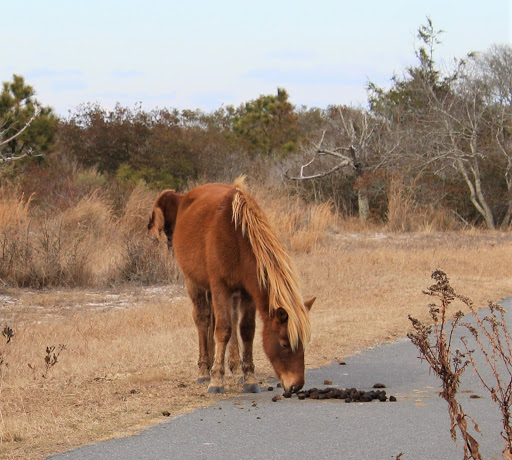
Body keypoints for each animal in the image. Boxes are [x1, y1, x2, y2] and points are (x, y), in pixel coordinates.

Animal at [148, 178, 314, 394]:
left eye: (304, 342)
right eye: (285, 344)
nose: (296, 385)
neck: (236, 236)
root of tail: (184, 197)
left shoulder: (247, 292)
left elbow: (246, 330)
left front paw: (249, 377)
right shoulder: (220, 287)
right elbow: (223, 329)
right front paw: (216, 380)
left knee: (230, 322)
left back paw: (233, 368)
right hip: (194, 283)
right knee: (203, 319)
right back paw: (204, 370)